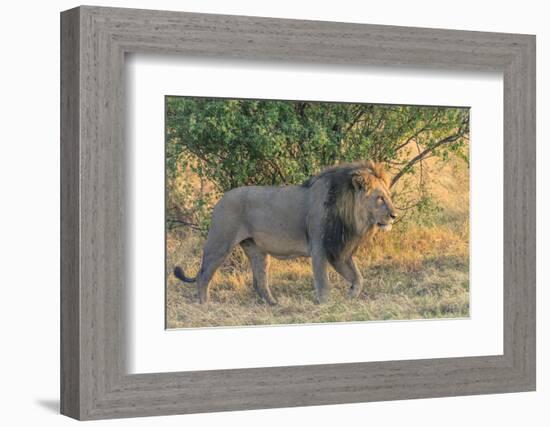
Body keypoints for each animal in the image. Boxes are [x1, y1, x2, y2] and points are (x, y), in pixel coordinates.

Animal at [176, 160, 396, 304]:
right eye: (379, 198)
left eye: (388, 196)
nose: (394, 215)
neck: (351, 215)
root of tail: (220, 200)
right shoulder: (320, 247)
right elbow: (323, 282)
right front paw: (326, 304)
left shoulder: (339, 249)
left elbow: (358, 278)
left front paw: (351, 296)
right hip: (221, 243)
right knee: (203, 275)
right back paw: (204, 305)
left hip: (257, 251)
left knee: (259, 282)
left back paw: (273, 304)